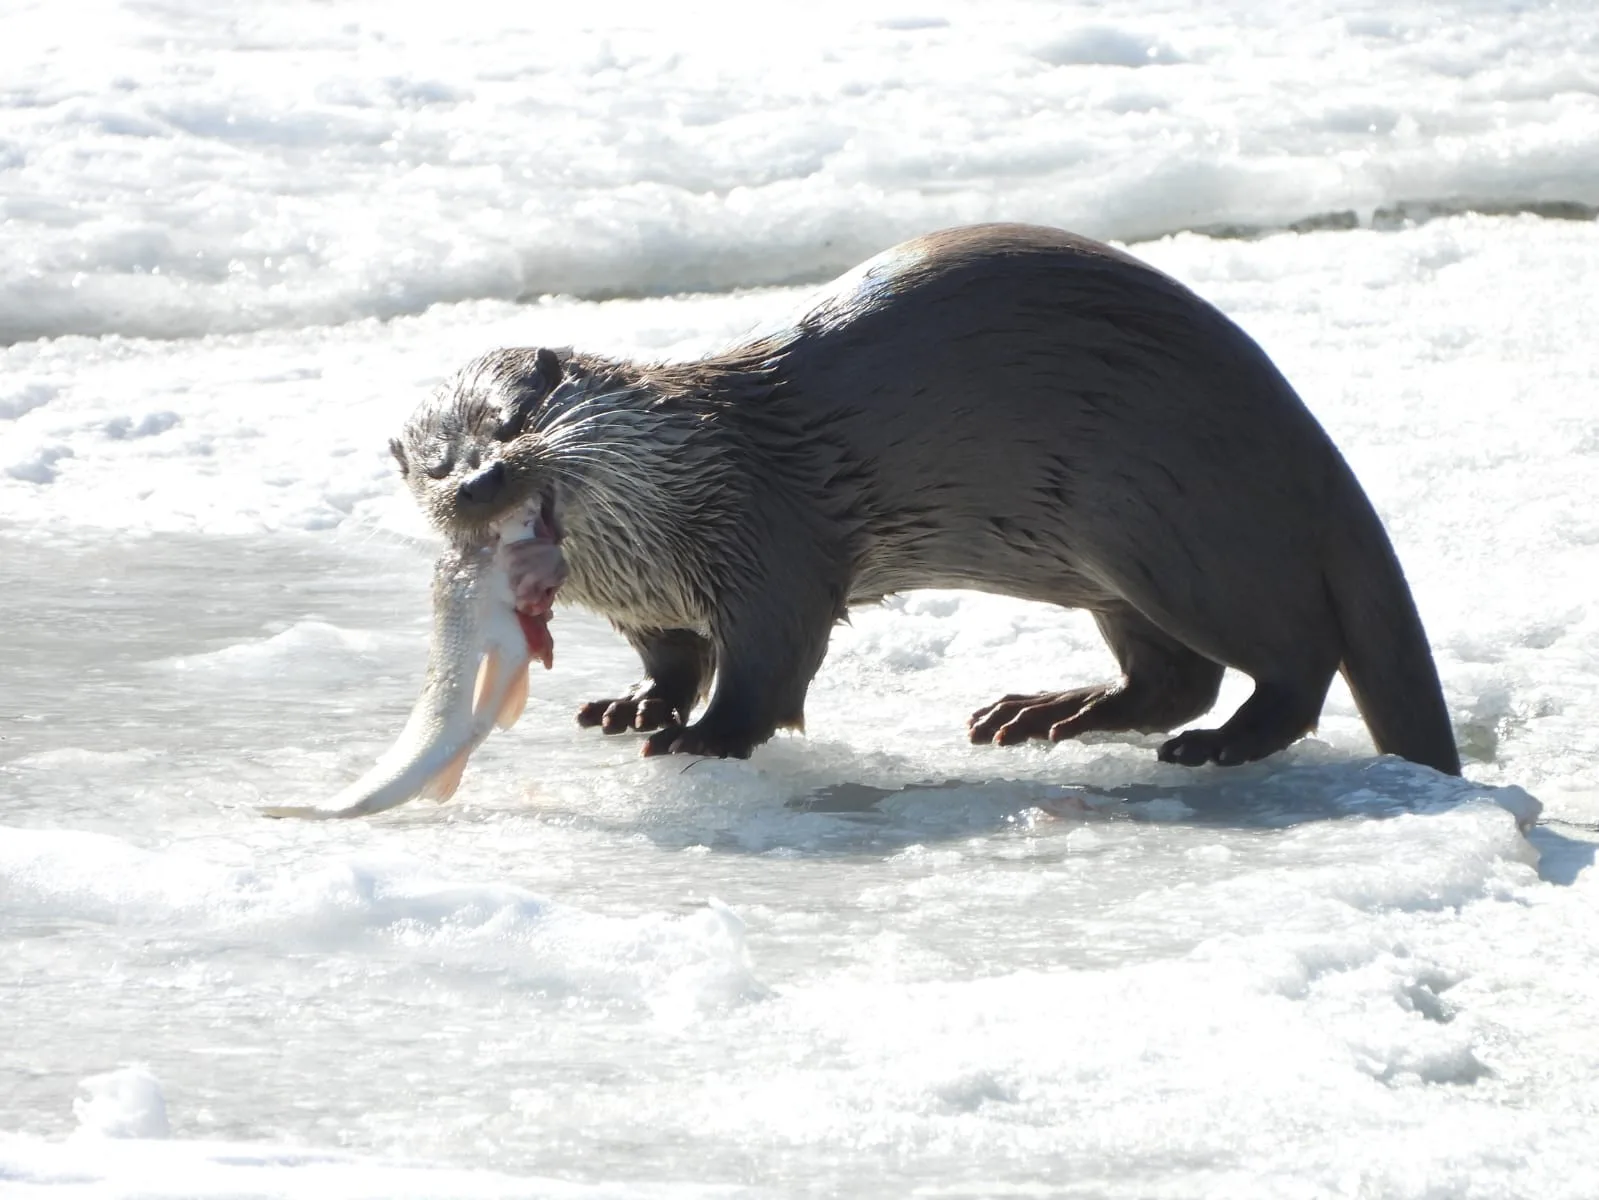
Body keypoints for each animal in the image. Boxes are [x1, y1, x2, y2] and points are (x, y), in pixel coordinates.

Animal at [386, 225, 1464, 780]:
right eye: (434, 463)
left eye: (514, 419)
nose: (481, 482)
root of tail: (1308, 445)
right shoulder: (651, 603)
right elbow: (675, 659)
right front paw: (632, 704)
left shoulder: (770, 544)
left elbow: (769, 665)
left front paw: (705, 736)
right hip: (1117, 564)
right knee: (1175, 676)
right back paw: (1047, 714)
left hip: (1182, 532)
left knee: (1293, 658)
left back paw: (1216, 745)